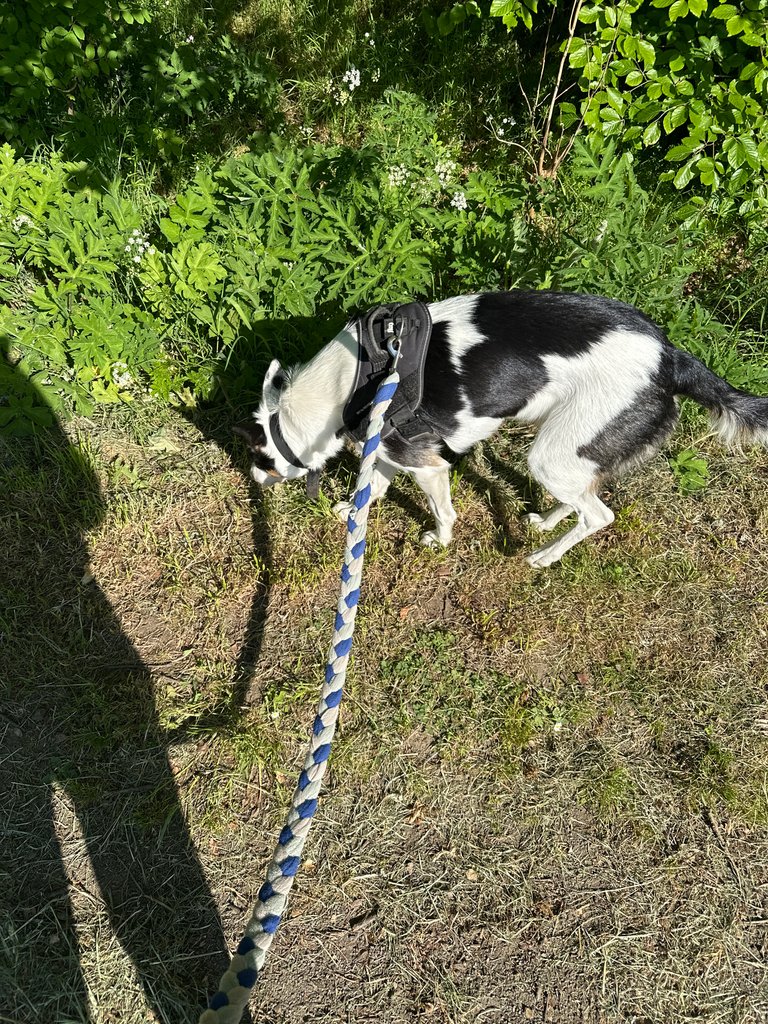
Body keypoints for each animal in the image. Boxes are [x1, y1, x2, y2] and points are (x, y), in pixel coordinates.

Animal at [235, 291, 768, 567]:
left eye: (259, 459)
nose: (256, 483)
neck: (351, 381)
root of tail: (670, 357)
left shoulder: (426, 465)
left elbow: (441, 511)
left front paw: (440, 540)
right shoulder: (389, 449)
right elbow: (376, 487)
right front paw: (353, 508)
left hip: (550, 454)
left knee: (599, 516)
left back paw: (545, 556)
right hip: (567, 449)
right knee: (583, 498)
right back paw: (548, 523)